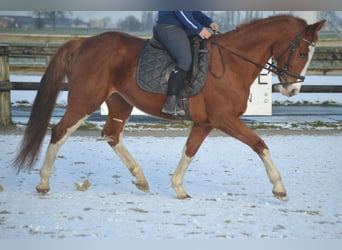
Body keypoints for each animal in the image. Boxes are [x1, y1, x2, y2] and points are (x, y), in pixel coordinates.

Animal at [12, 15, 324, 201]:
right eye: (301, 52)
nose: (293, 90)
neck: (233, 62)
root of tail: (83, 43)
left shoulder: (205, 122)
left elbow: (189, 150)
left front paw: (178, 187)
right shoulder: (225, 119)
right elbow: (260, 144)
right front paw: (279, 187)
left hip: (119, 103)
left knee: (112, 134)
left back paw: (140, 179)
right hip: (84, 101)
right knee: (59, 132)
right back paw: (43, 184)